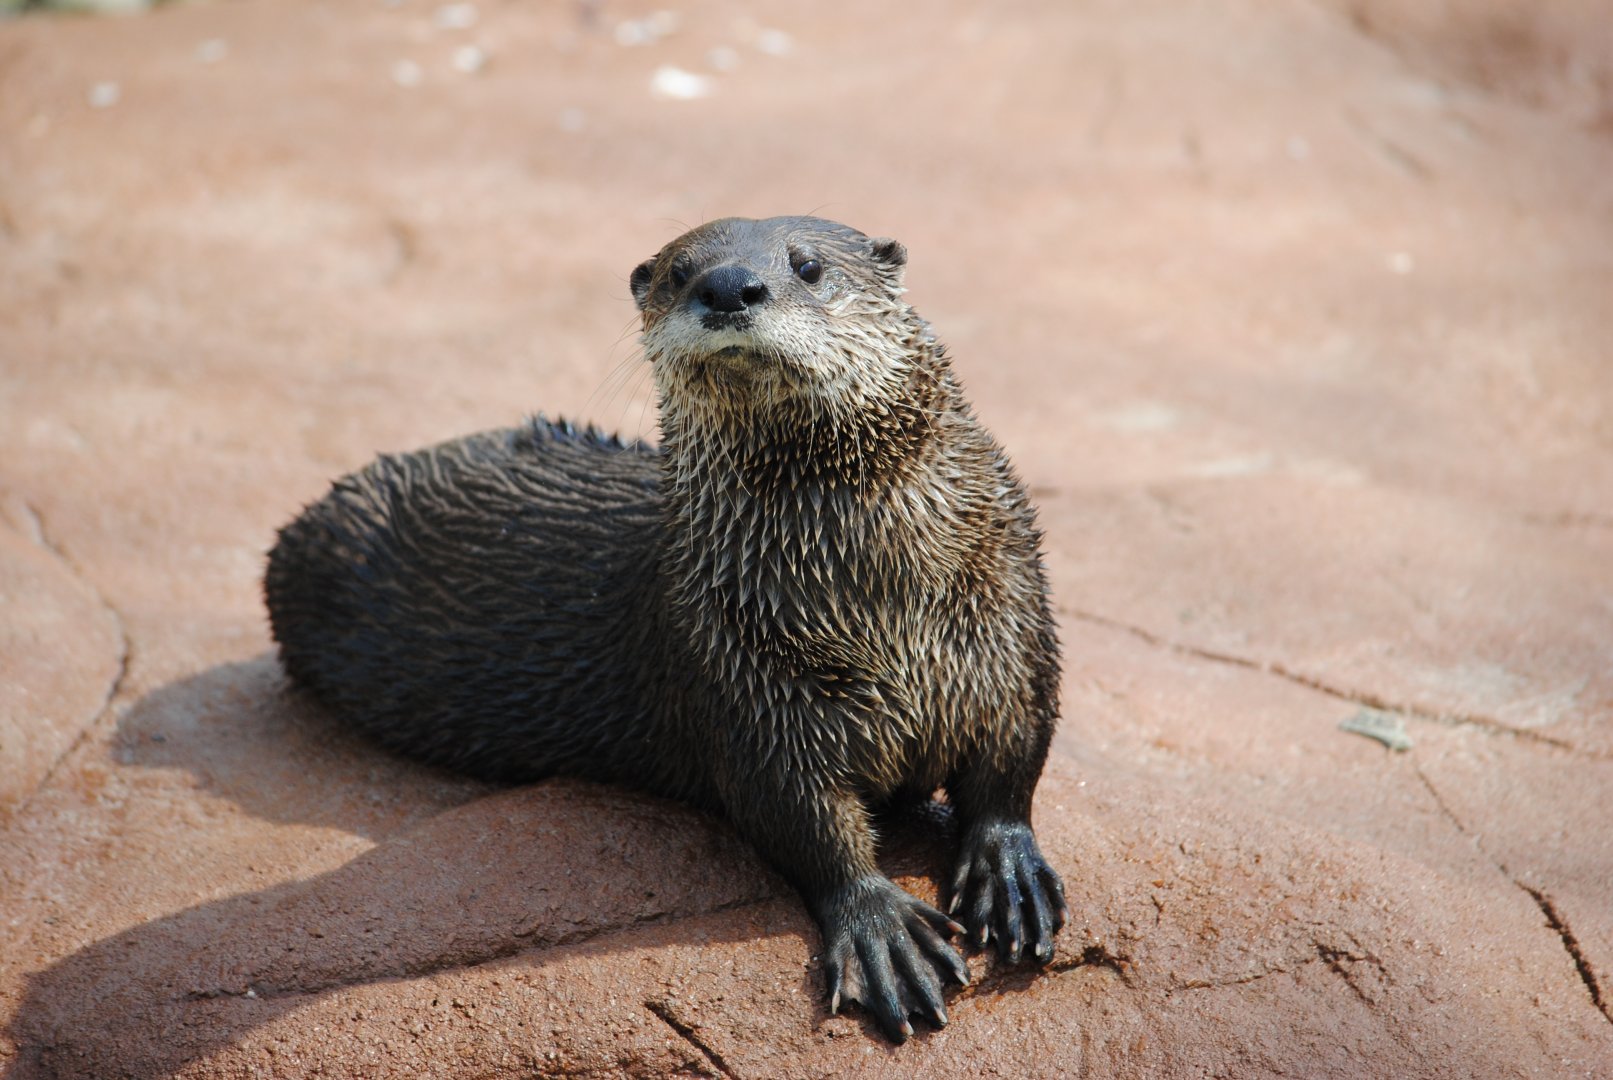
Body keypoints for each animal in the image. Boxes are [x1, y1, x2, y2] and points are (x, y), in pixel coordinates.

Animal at [264, 215, 1066, 1042]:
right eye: (681, 272)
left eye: (808, 266)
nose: (728, 287)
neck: (878, 603)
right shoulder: (740, 678)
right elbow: (799, 817)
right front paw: (881, 926)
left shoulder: (1013, 625)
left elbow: (1013, 760)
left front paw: (1006, 869)